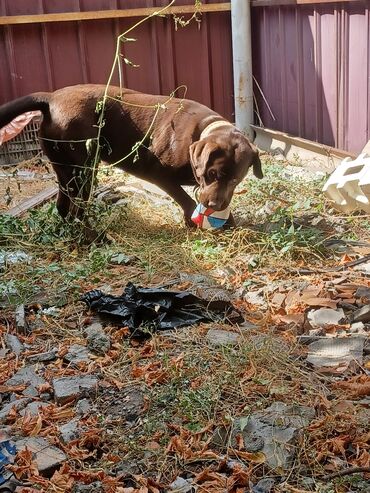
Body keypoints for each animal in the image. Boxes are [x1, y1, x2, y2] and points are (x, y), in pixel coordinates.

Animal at [0, 84, 262, 229]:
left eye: (235, 180)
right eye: (211, 173)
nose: (215, 205)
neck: (204, 129)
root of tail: (51, 98)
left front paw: (228, 222)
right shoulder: (160, 175)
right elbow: (186, 201)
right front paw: (193, 220)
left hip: (66, 169)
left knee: (64, 206)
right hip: (85, 170)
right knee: (78, 210)